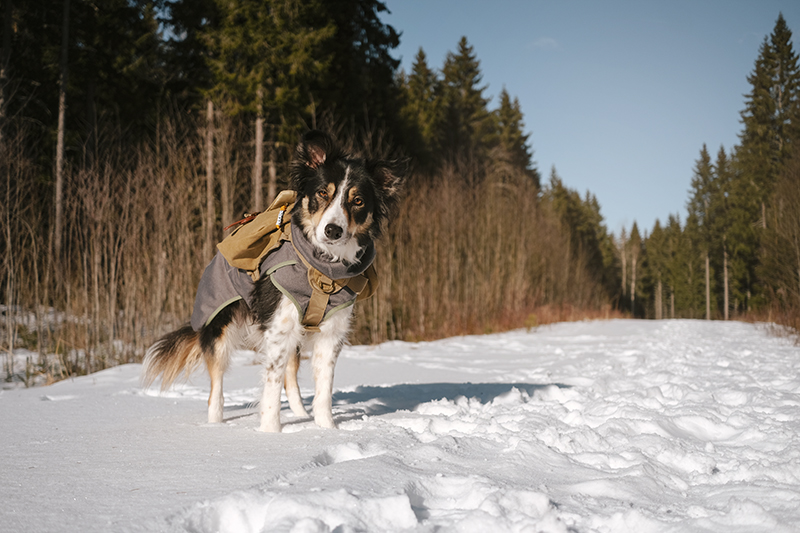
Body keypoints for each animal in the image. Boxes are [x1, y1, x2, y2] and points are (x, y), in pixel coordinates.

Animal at [142, 130, 406, 432]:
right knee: (216, 387)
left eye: (358, 200)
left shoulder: (330, 332)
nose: (333, 230)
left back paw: (300, 414)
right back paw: (216, 426)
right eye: (322, 193)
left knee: (290, 376)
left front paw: (326, 430)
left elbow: (323, 390)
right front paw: (270, 434)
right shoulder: (279, 327)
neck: (321, 269)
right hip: (220, 326)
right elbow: (271, 386)